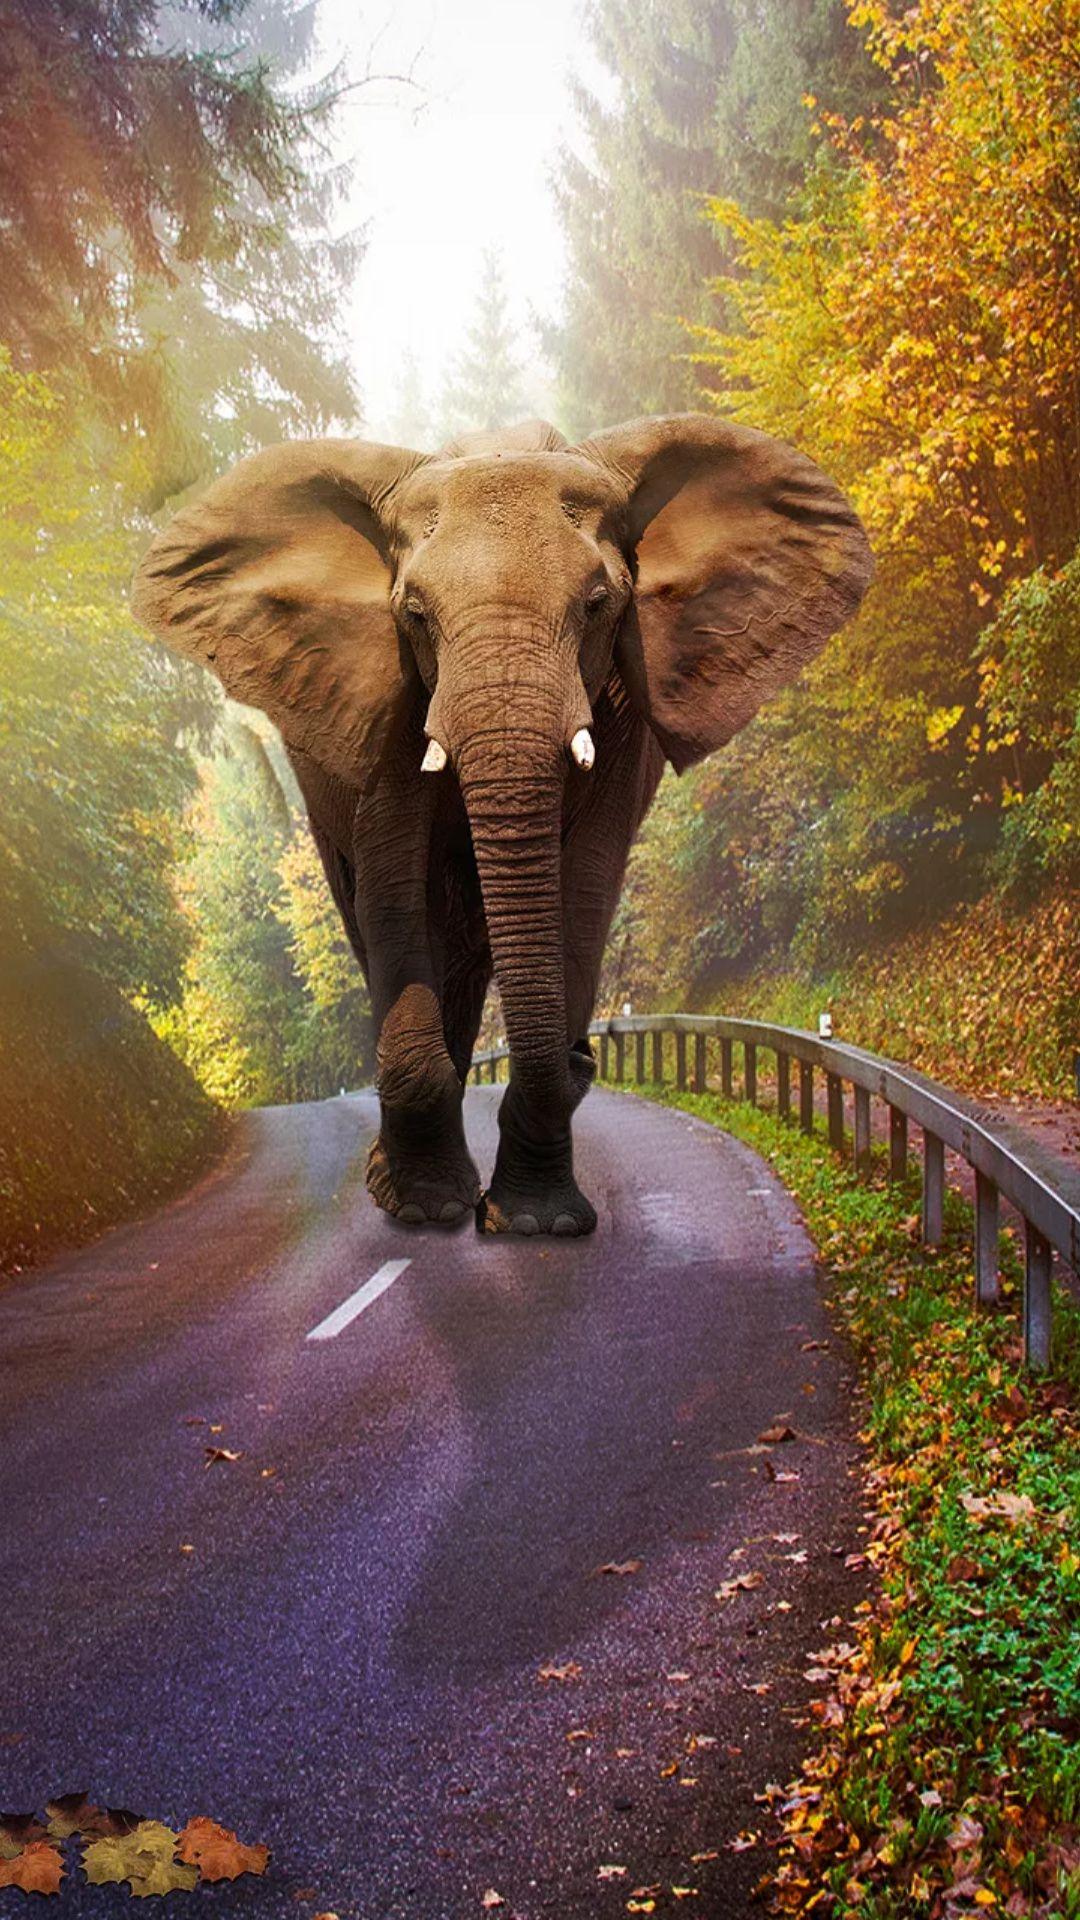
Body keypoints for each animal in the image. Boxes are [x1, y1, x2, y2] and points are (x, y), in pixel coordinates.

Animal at [132, 413, 872, 1238]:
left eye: (598, 605)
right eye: (415, 614)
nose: (588, 1055)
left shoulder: (621, 711)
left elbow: (585, 887)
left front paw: (537, 1222)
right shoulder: (390, 694)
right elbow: (393, 888)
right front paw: (428, 1209)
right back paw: (402, 1186)